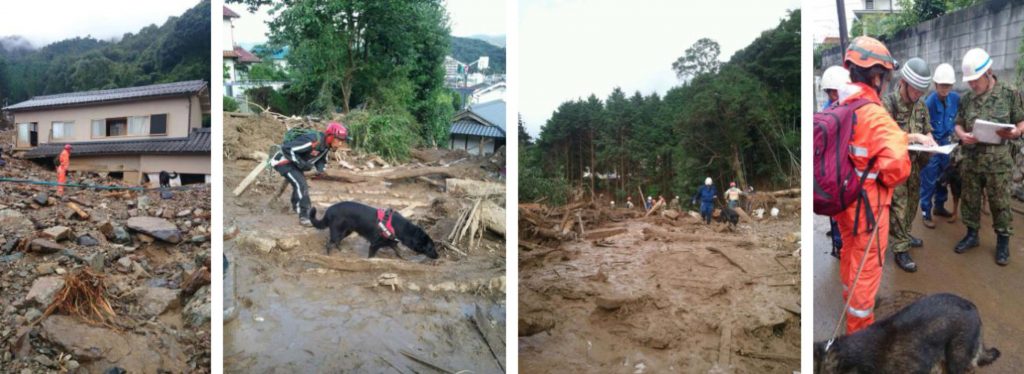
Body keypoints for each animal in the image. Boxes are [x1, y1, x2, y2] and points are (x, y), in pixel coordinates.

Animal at [311, 200, 440, 259]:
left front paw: (404, 258)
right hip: (338, 231)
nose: (438, 256)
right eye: (430, 248)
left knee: (336, 241)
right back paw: (329, 255)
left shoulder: (392, 243)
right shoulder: (374, 245)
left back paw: (341, 250)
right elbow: (371, 257)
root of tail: (329, 210)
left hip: (346, 231)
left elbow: (398, 251)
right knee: (329, 243)